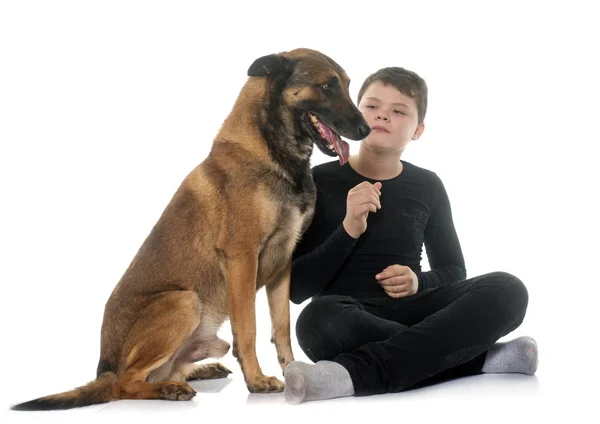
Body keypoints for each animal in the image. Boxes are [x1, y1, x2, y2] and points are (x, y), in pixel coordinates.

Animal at [11, 47, 370, 410]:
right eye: (327, 86)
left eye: (346, 85)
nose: (366, 129)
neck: (274, 152)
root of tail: (104, 371)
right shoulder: (242, 258)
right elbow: (249, 329)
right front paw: (256, 380)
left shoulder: (283, 264)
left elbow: (280, 328)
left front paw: (293, 369)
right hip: (183, 301)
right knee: (127, 383)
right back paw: (168, 389)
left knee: (164, 371)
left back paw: (197, 371)